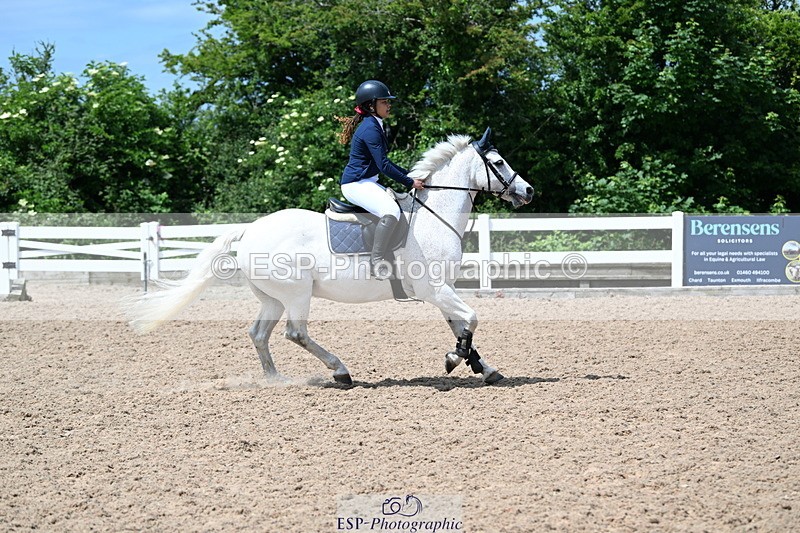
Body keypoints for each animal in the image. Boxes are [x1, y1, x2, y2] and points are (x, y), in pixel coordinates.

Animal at [128, 128, 534, 385]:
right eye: (498, 163)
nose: (528, 191)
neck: (433, 216)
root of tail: (249, 230)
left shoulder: (441, 290)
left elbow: (462, 327)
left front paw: (484, 369)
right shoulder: (433, 289)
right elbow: (472, 318)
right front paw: (454, 359)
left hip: (273, 298)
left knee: (259, 333)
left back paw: (276, 380)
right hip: (296, 294)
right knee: (295, 333)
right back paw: (340, 372)